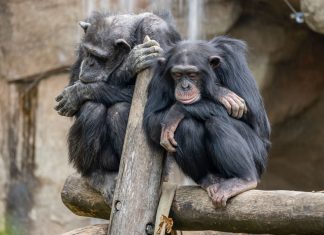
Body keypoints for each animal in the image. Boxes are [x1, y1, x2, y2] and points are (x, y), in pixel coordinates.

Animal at [144, 36, 270, 207]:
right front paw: (219, 92)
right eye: (177, 74)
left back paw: (243, 180)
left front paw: (214, 92)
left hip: (258, 156)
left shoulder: (234, 61)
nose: (184, 86)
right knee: (186, 126)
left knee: (215, 123)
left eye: (192, 74)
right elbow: (151, 119)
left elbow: (257, 117)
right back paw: (208, 179)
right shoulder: (159, 73)